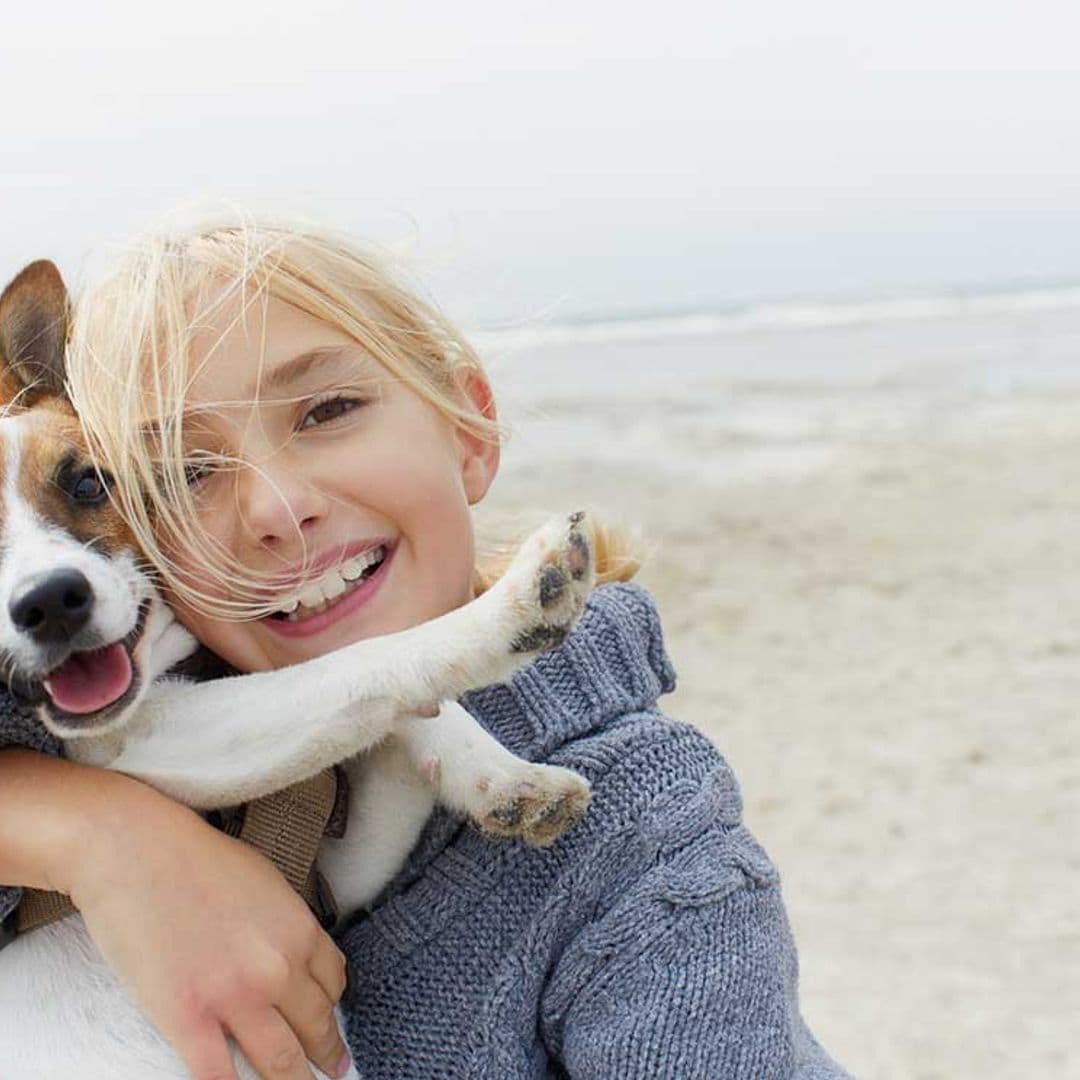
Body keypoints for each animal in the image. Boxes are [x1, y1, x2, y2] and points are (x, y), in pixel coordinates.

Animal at [0, 263, 596, 1080]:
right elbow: (362, 661)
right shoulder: (146, 740)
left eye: (87, 484)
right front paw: (506, 612)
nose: (52, 602)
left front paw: (502, 777)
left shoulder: (332, 879)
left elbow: (394, 713)